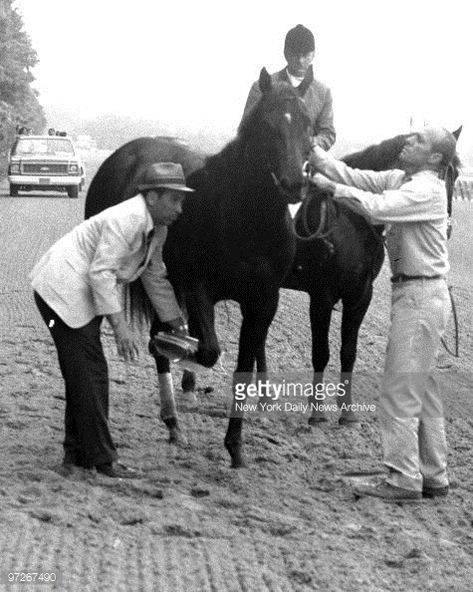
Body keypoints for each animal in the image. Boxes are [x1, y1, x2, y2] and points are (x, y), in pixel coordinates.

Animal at [85, 68, 312, 468]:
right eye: (267, 126)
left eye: (306, 123)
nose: (294, 184)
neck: (245, 217)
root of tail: (123, 155)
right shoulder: (197, 287)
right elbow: (207, 350)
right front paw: (187, 367)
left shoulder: (263, 300)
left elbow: (242, 364)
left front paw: (235, 445)